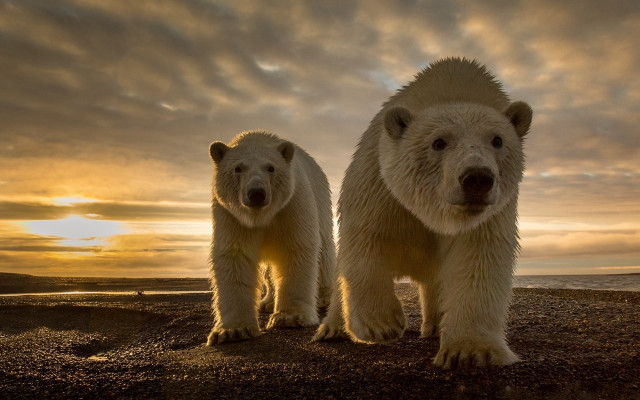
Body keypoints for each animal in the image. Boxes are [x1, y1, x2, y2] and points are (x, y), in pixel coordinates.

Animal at [206, 131, 335, 345]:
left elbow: (295, 248)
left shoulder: (292, 203)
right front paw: (233, 330)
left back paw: (324, 297)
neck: (261, 216)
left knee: (324, 250)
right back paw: (267, 302)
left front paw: (289, 317)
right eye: (238, 168)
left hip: (322, 201)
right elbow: (234, 256)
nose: (256, 193)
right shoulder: (231, 215)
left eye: (271, 167)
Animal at [313, 57, 532, 369]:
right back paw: (332, 328)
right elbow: (366, 238)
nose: (477, 178)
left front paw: (470, 351)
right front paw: (381, 324)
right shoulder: (379, 183)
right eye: (438, 142)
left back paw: (434, 325)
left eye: (497, 140)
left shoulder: (490, 213)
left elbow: (479, 258)